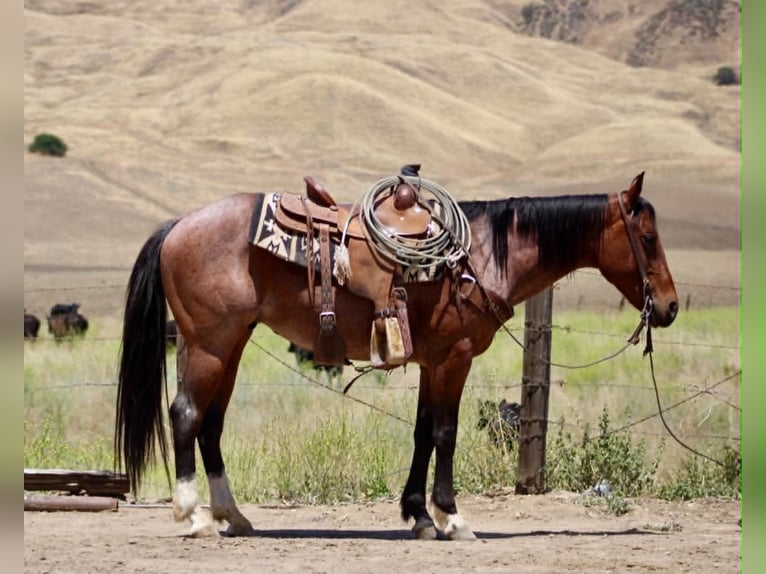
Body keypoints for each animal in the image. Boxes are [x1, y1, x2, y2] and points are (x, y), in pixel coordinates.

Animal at [115, 171, 677, 540]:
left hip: (227, 346)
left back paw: (233, 517)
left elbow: (422, 434)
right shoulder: (455, 358)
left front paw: (419, 516)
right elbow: (445, 435)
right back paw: (194, 517)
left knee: (210, 423)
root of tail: (179, 225)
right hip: (209, 344)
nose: (670, 307)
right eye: (648, 238)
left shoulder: (433, 362)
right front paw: (452, 517)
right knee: (186, 414)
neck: (479, 258)